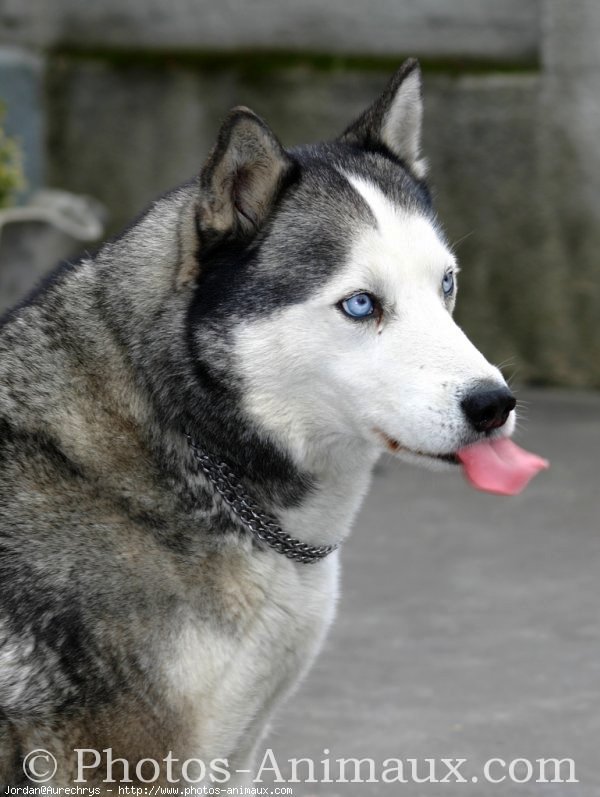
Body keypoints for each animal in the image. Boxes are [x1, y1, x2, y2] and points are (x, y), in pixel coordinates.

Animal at [0, 59, 516, 788]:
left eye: (446, 285)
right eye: (361, 304)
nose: (494, 404)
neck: (182, 441)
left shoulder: (235, 752)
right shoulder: (130, 762)